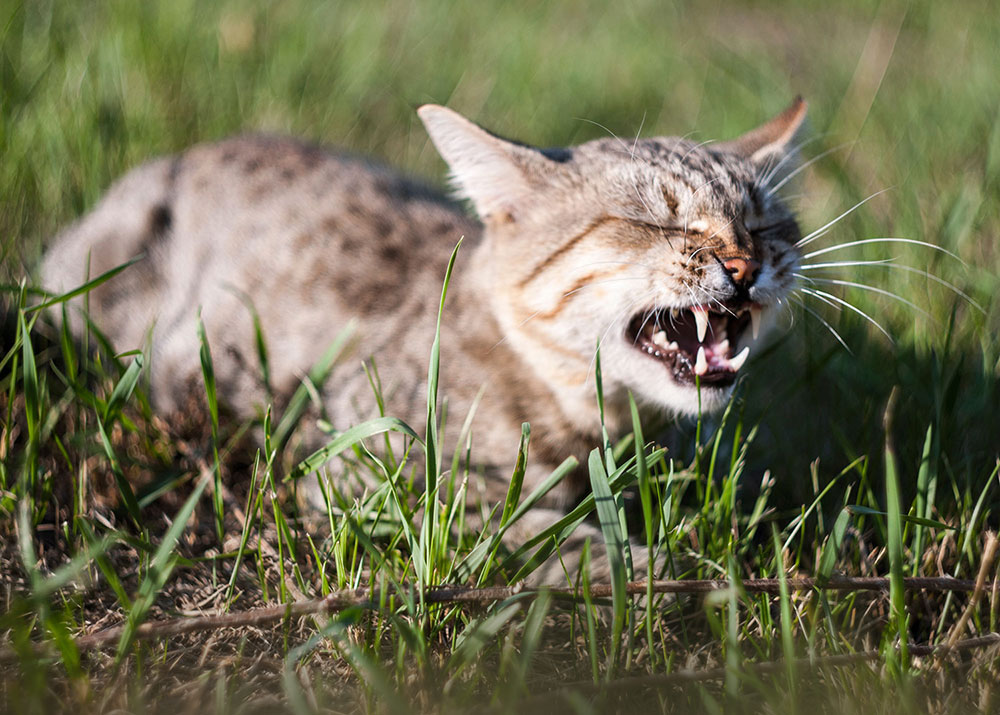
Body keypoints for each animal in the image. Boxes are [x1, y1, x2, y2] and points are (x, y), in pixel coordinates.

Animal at [39, 98, 808, 584]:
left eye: (765, 224)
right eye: (657, 223)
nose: (746, 265)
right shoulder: (356, 469)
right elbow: (509, 523)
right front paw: (657, 567)